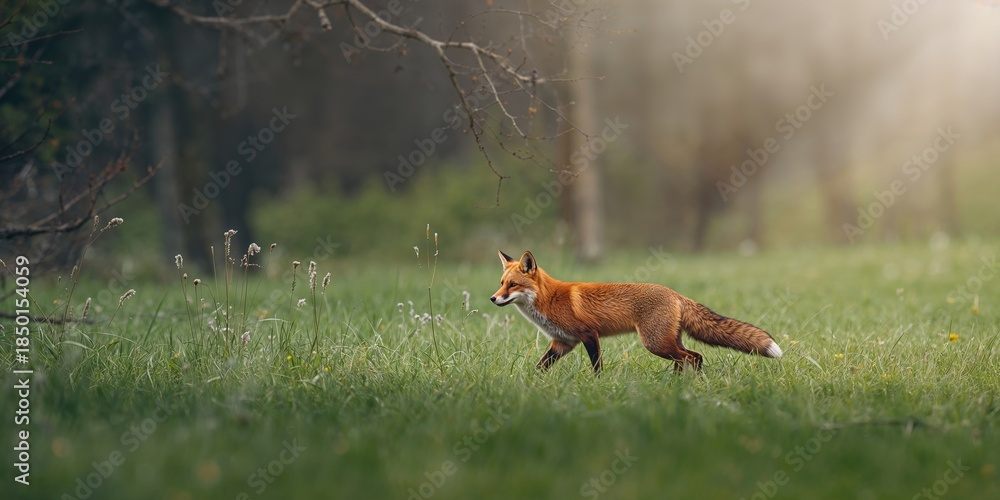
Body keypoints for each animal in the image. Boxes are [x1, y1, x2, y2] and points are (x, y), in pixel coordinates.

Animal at [490, 250, 782, 374]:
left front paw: (598, 386)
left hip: (655, 343)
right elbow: (539, 368)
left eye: (513, 285)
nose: (493, 298)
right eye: (501, 282)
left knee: (692, 358)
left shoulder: (589, 334)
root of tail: (675, 294)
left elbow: (597, 367)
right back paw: (679, 385)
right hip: (668, 341)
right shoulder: (563, 343)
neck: (548, 300)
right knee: (692, 358)